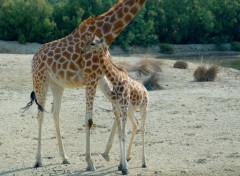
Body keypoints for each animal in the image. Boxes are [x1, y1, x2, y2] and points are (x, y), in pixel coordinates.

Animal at [82, 37, 150, 175]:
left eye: (92, 43)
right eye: (86, 42)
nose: (83, 51)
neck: (115, 80)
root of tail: (146, 90)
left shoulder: (122, 107)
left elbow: (123, 135)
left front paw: (125, 168)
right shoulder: (116, 108)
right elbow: (120, 135)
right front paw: (121, 165)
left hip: (143, 107)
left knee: (143, 129)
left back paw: (144, 162)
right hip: (131, 110)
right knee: (136, 125)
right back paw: (128, 157)